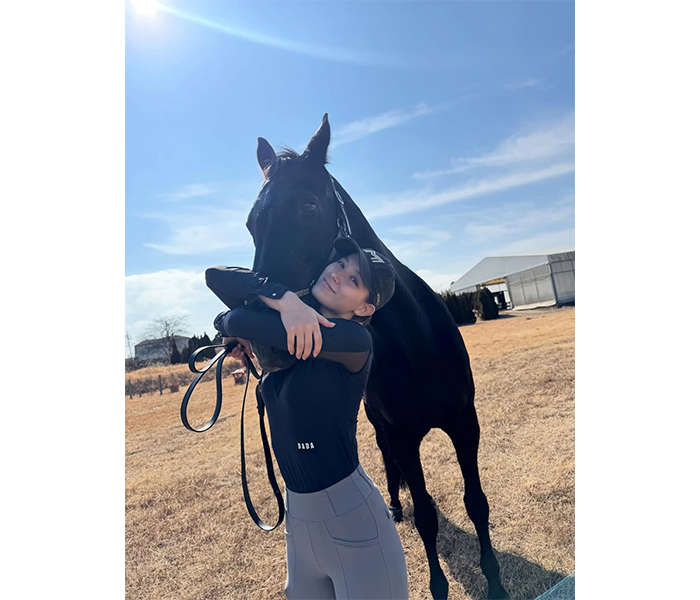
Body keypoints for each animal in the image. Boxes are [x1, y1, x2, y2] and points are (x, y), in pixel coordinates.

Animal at [245, 114, 509, 600]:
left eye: (308, 205)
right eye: (253, 222)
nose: (266, 346)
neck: (414, 345)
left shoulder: (465, 422)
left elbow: (476, 502)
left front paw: (496, 583)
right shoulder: (403, 436)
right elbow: (426, 516)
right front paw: (438, 586)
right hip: (380, 424)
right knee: (389, 463)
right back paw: (393, 502)